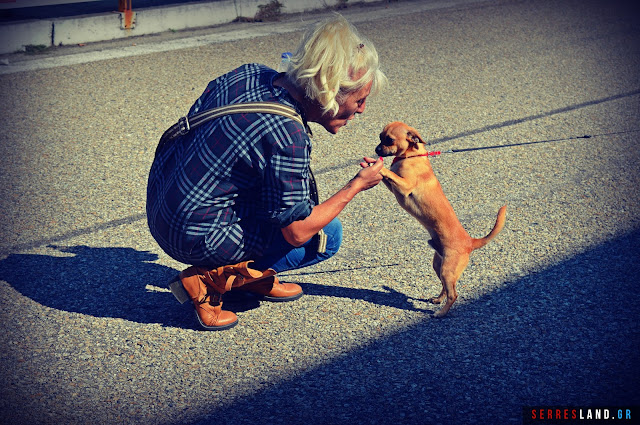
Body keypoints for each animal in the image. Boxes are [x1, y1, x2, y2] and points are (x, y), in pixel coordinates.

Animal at [376, 121, 504, 316]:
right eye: (380, 137)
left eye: (389, 140)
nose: (376, 150)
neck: (411, 156)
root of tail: (470, 242)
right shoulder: (394, 188)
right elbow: (387, 177)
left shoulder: (404, 186)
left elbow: (390, 174)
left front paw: (379, 167)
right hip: (439, 266)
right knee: (446, 287)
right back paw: (438, 299)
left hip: (447, 270)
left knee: (454, 294)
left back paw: (441, 313)